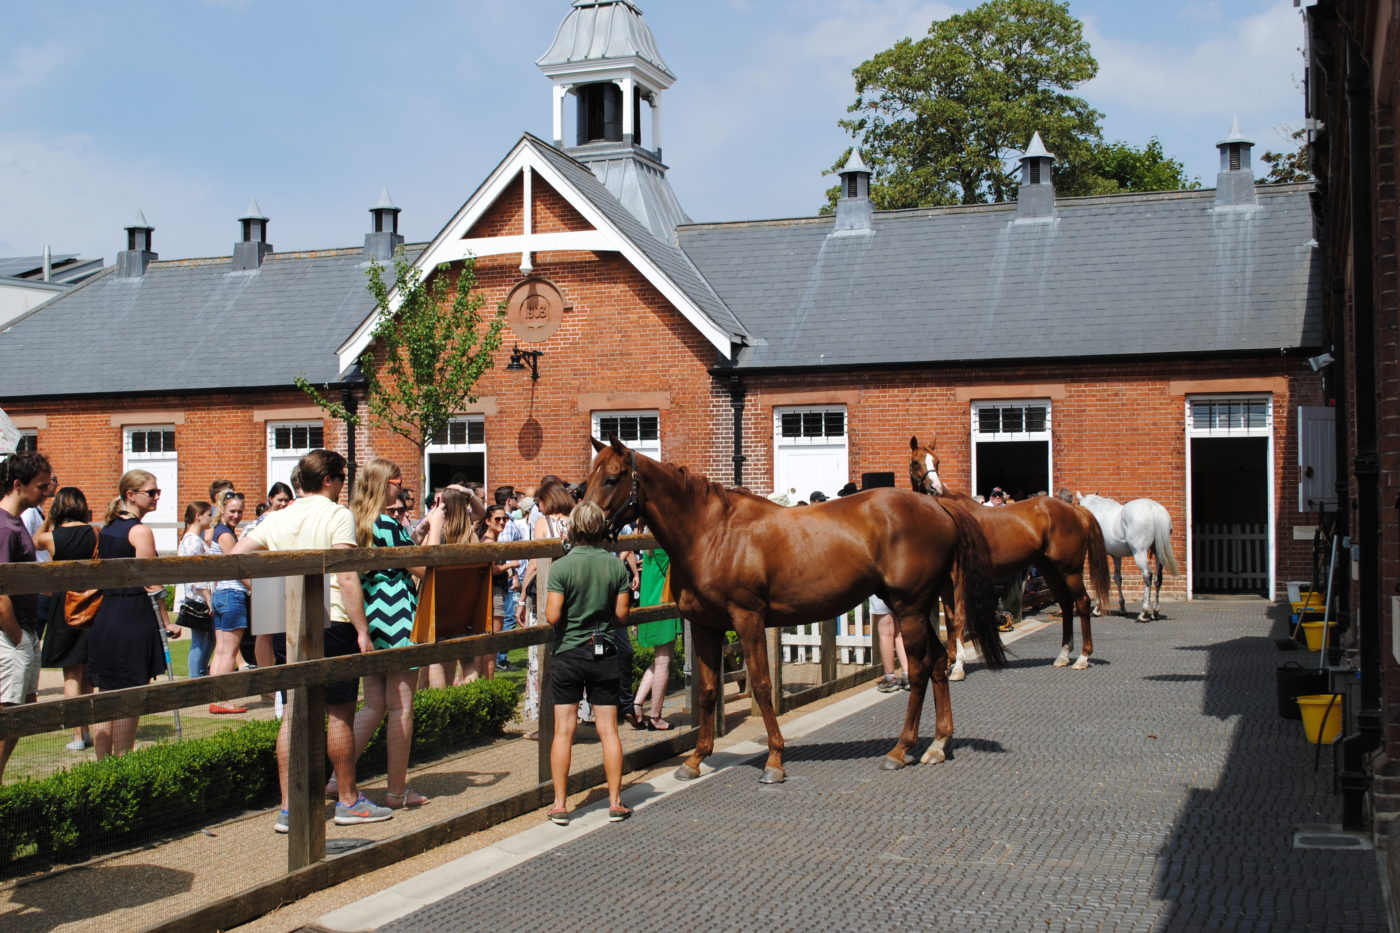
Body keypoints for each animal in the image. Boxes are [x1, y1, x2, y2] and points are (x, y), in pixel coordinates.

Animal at [582, 437, 1008, 778]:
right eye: (588, 478)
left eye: (613, 477)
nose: (581, 527)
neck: (713, 533)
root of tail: (938, 507)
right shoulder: (706, 625)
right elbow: (707, 690)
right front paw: (695, 759)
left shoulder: (748, 618)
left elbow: (762, 683)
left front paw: (774, 759)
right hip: (914, 606)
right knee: (936, 661)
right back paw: (937, 744)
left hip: (910, 606)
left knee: (919, 669)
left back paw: (901, 749)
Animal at [907, 431, 1114, 672]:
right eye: (915, 462)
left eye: (937, 462)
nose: (935, 488)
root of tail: (1076, 510)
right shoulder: (945, 582)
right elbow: (949, 619)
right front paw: (950, 661)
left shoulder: (959, 577)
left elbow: (958, 618)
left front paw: (958, 666)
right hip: (1050, 568)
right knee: (1065, 602)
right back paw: (1063, 654)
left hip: (1070, 569)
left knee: (1082, 602)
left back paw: (1083, 657)